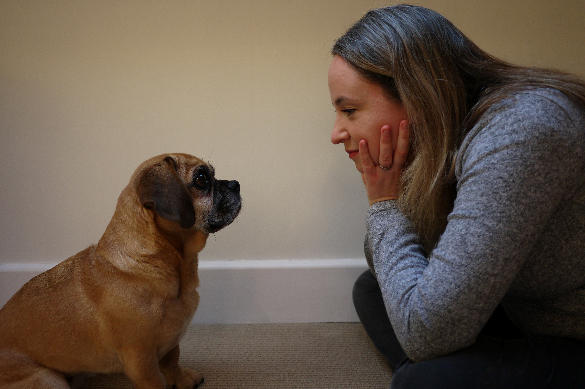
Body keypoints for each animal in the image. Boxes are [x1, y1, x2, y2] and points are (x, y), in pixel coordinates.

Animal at [0, 153, 240, 386]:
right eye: (201, 179)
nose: (235, 184)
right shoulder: (142, 364)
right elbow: (158, 379)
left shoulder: (172, 341)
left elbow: (173, 362)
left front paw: (182, 380)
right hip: (49, 379)